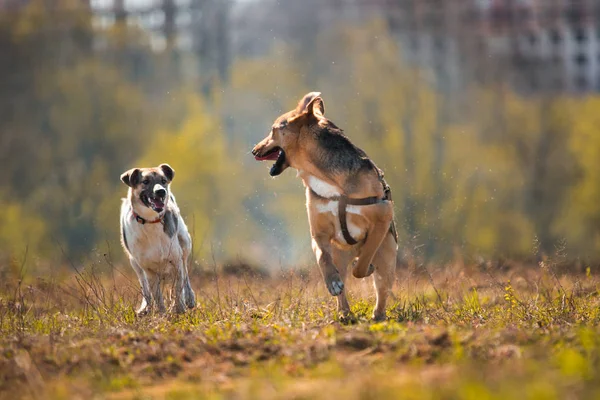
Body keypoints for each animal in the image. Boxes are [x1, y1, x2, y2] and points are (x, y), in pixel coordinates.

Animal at [120, 164, 197, 314]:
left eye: (163, 181)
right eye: (145, 181)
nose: (161, 192)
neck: (151, 221)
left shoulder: (175, 260)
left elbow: (178, 288)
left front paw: (179, 308)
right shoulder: (148, 268)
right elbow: (156, 295)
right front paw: (162, 314)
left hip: (184, 243)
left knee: (185, 271)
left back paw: (189, 298)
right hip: (134, 262)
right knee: (144, 285)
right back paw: (146, 307)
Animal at [251, 92, 396, 320]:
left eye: (273, 130)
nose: (253, 150)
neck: (328, 179)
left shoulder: (382, 218)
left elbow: (363, 262)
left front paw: (365, 266)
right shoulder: (318, 233)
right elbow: (323, 258)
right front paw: (332, 282)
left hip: (388, 257)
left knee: (381, 287)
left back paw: (378, 315)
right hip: (341, 255)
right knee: (343, 283)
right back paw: (345, 313)